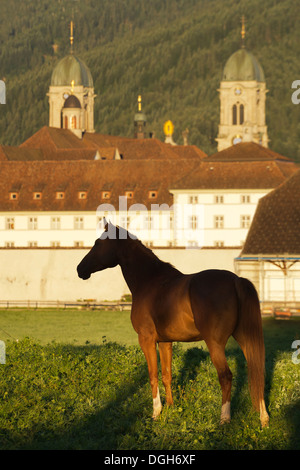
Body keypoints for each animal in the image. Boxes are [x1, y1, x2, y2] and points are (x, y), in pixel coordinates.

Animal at [77, 220, 270, 426]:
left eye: (98, 243)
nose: (80, 269)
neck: (150, 281)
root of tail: (235, 280)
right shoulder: (165, 342)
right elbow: (166, 375)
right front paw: (170, 407)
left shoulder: (146, 339)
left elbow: (153, 375)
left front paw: (156, 412)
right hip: (244, 337)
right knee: (257, 371)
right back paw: (263, 418)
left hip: (215, 343)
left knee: (226, 376)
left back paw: (224, 418)